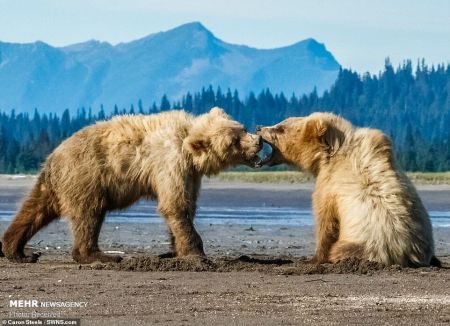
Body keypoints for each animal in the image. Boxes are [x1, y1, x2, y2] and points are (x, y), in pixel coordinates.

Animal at [1, 108, 264, 264]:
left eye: (241, 128)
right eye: (234, 140)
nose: (259, 140)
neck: (187, 146)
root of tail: (53, 156)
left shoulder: (190, 174)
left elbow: (185, 205)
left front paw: (175, 249)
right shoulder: (169, 162)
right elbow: (174, 205)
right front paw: (197, 254)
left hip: (56, 184)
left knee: (33, 210)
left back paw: (18, 250)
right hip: (87, 177)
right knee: (89, 214)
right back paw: (100, 255)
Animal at [258, 112, 438, 268]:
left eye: (280, 128)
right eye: (281, 123)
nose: (259, 127)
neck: (328, 155)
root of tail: (405, 253)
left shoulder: (329, 186)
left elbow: (326, 221)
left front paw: (313, 259)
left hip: (366, 243)